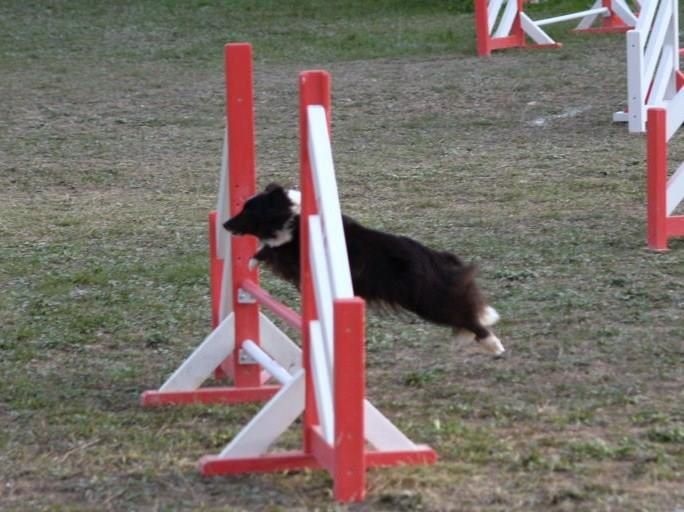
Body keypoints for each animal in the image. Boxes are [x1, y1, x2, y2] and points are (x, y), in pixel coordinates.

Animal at [223, 184, 502, 356]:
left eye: (248, 210)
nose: (225, 224)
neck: (292, 215)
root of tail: (436, 257)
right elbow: (268, 247)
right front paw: (252, 260)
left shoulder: (292, 249)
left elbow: (272, 248)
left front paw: (252, 260)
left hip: (429, 302)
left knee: (467, 316)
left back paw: (494, 345)